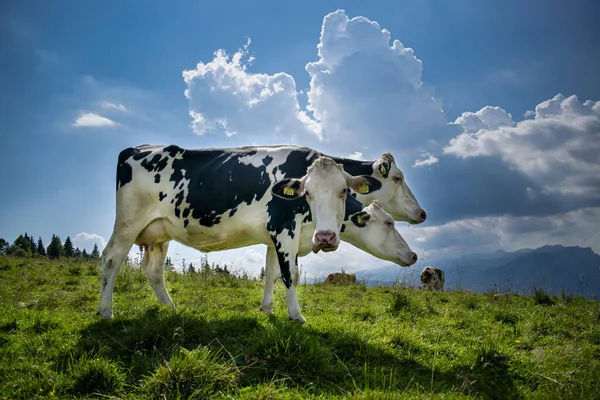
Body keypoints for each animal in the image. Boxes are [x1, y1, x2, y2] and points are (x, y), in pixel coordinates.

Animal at [98, 144, 400, 322]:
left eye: (344, 191)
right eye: (308, 193)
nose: (326, 237)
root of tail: (137, 148)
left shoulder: (277, 237)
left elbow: (272, 273)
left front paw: (267, 309)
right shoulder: (284, 228)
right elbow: (290, 274)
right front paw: (296, 315)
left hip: (159, 233)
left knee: (154, 270)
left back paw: (170, 308)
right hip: (128, 222)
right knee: (112, 258)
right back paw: (105, 312)